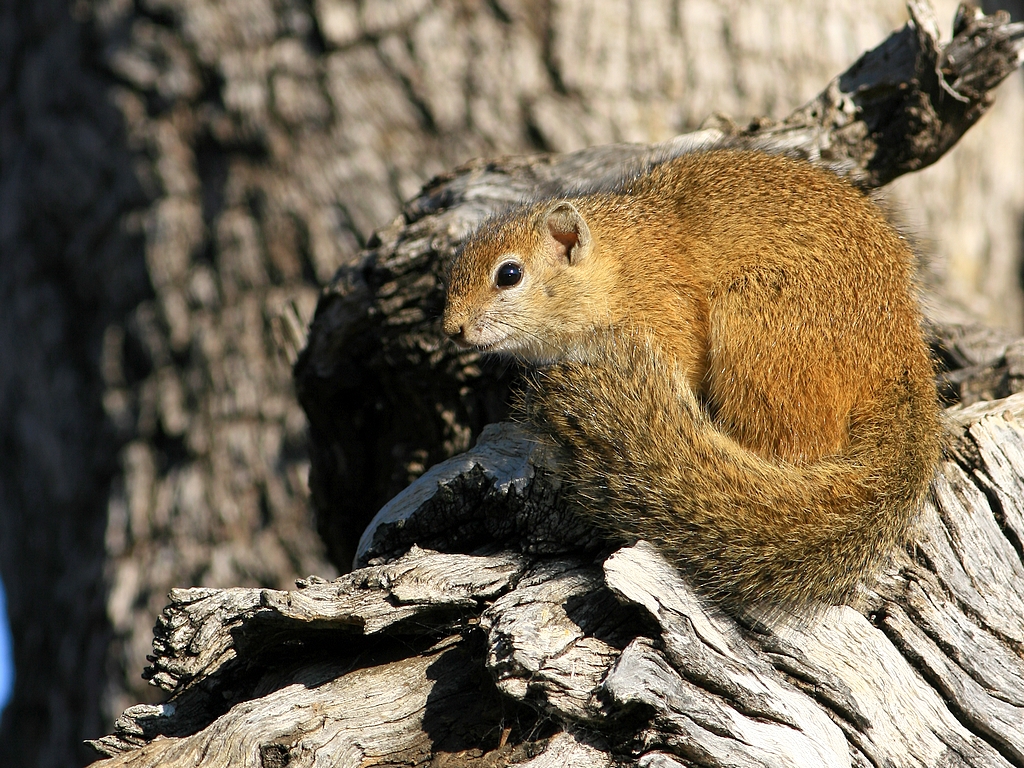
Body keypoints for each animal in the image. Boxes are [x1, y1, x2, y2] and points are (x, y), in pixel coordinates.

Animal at [444, 150, 937, 614]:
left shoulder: (668, 320)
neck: (618, 267)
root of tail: (901, 364)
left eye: (509, 274)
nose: (452, 329)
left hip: (758, 327)